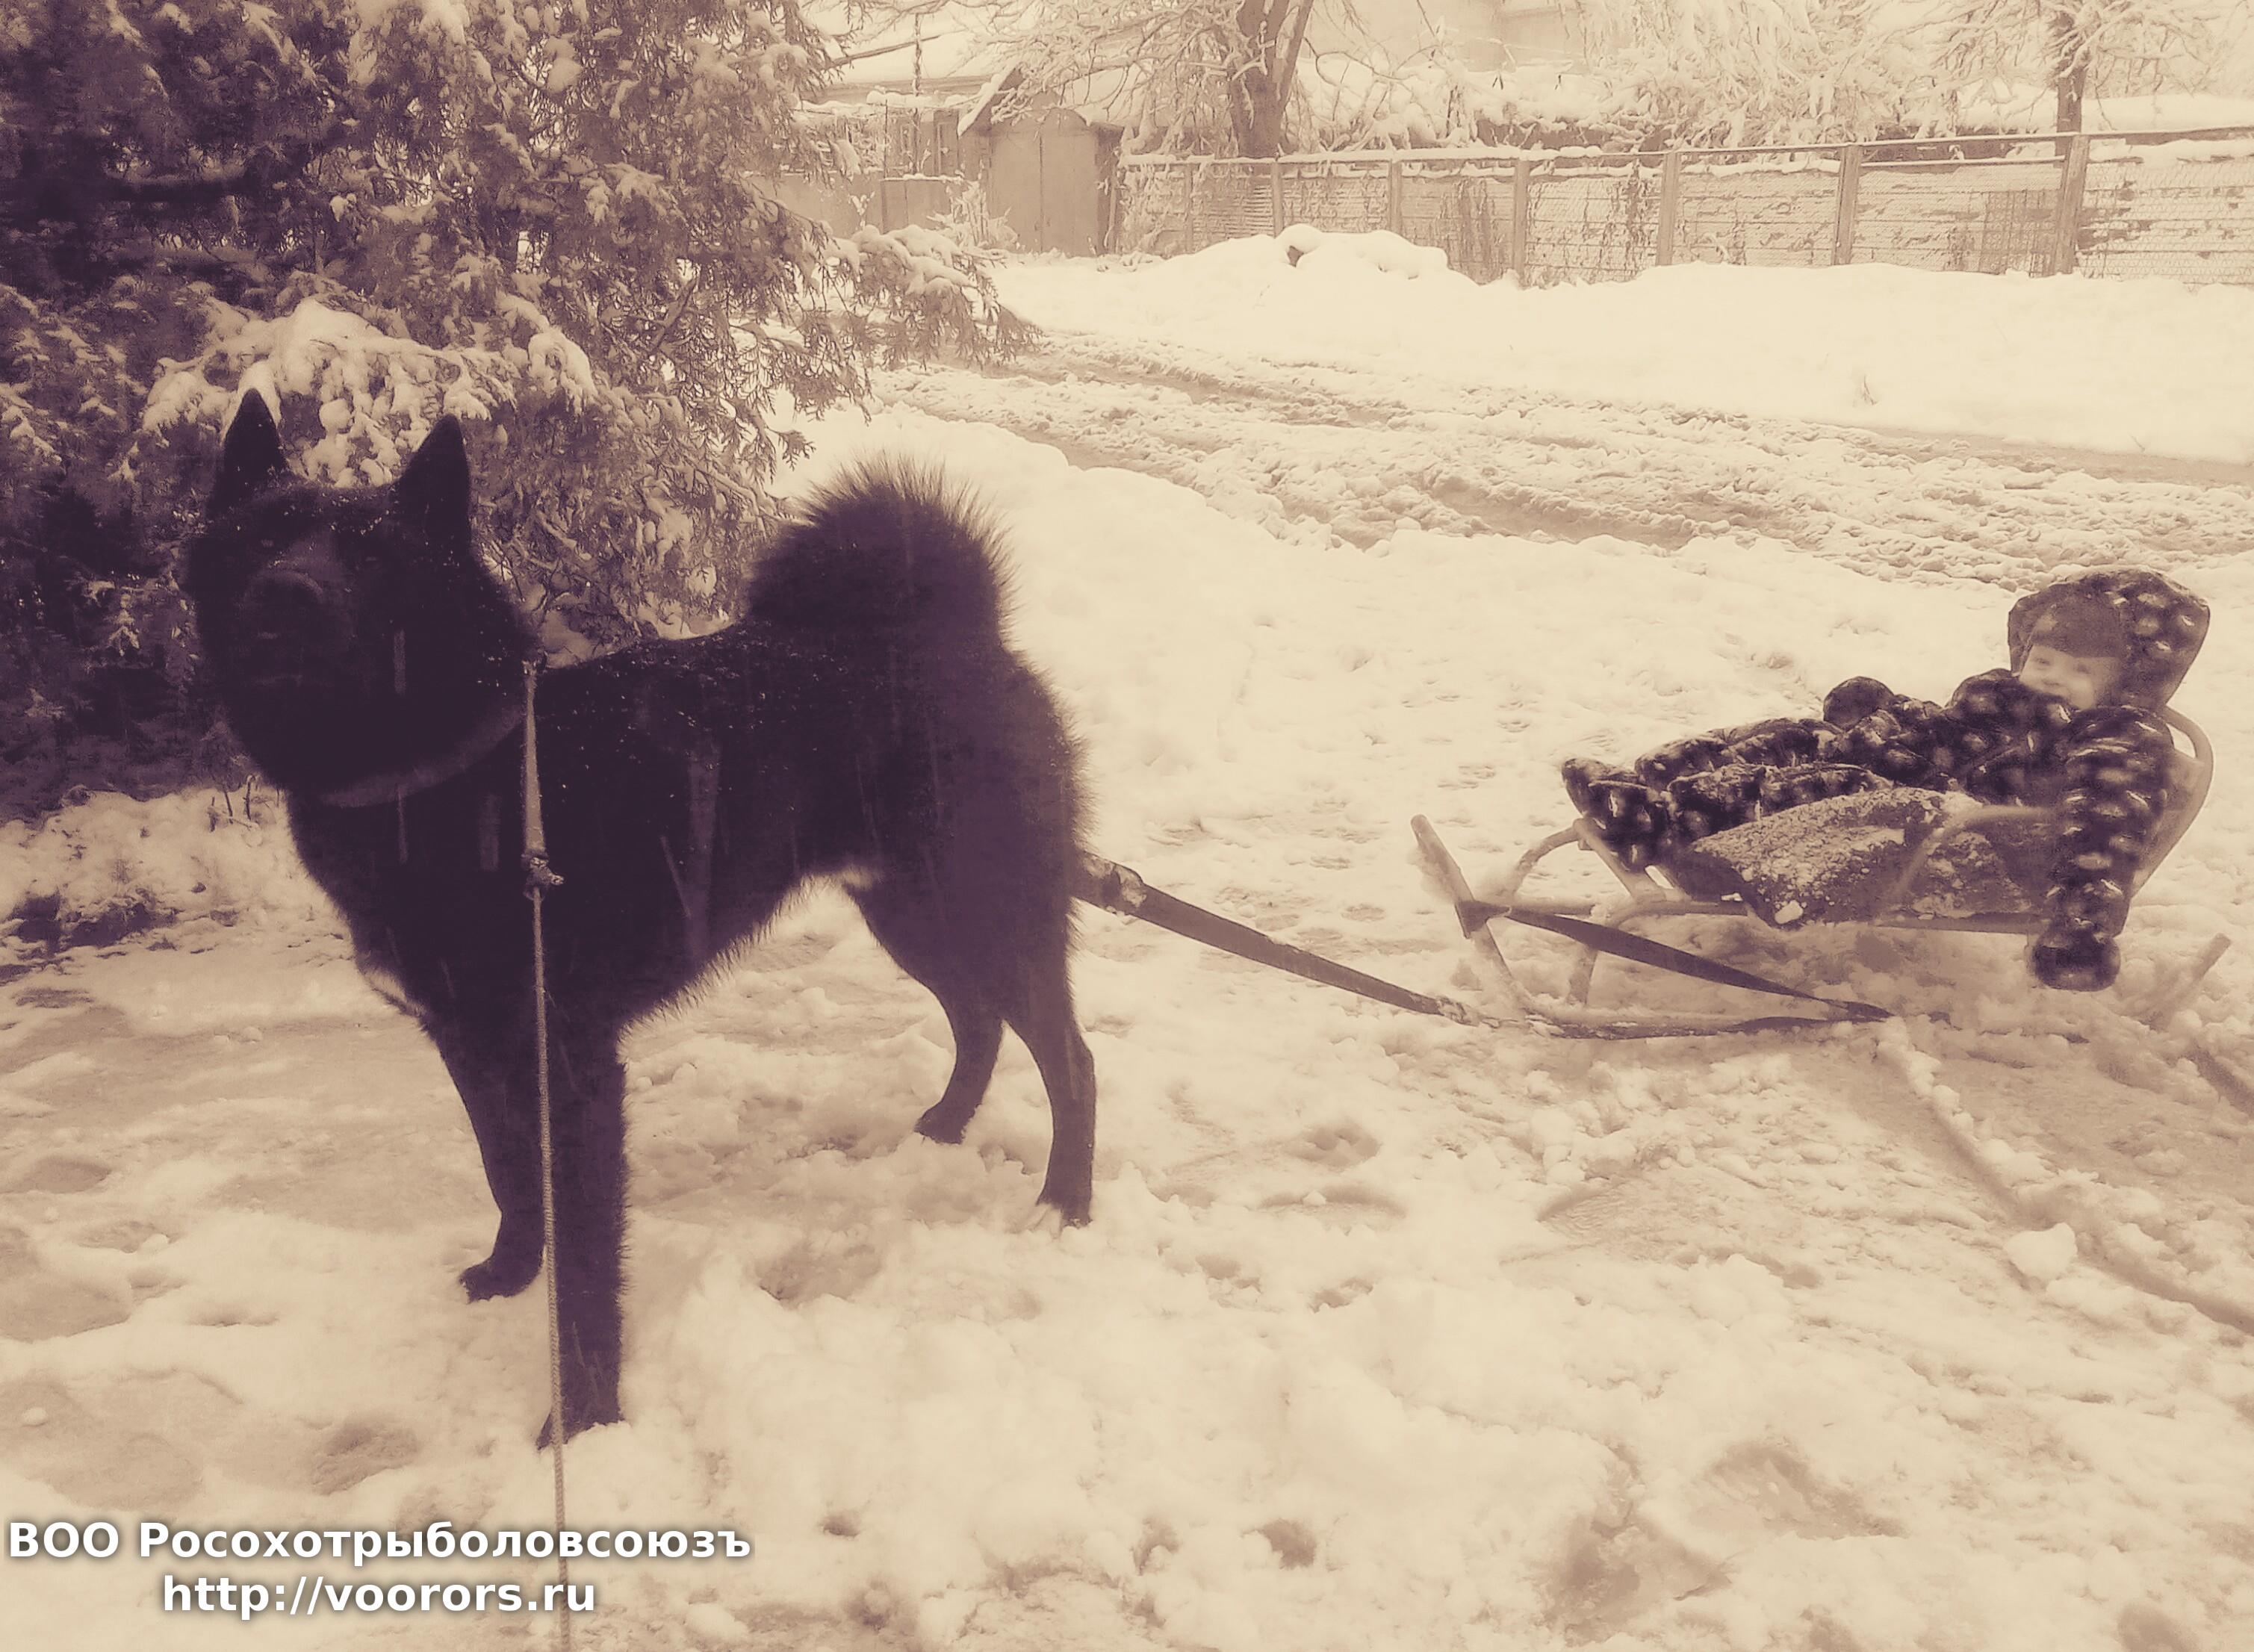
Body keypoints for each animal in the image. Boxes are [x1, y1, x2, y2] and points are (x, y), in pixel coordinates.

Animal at [185, 396, 1096, 1439]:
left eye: (374, 555)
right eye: (263, 537)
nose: (286, 593)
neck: (467, 769)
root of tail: (963, 632)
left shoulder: (574, 1064)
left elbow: (586, 1265)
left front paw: (580, 1422)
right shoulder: (470, 1041)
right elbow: (508, 1170)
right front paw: (510, 1273)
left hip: (988, 906)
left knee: (1070, 1058)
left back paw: (1065, 1205)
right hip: (914, 912)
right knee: (978, 1019)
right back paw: (943, 1126)